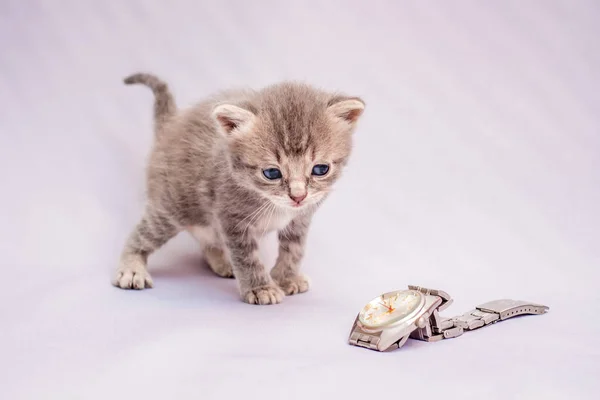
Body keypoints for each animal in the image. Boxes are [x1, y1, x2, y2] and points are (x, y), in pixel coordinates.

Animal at [112, 72, 366, 304]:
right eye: (272, 173)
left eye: (320, 169)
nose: (298, 196)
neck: (270, 201)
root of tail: (171, 126)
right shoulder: (231, 218)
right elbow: (246, 257)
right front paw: (260, 288)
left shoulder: (300, 218)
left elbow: (294, 249)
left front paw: (287, 278)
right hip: (174, 206)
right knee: (145, 233)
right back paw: (132, 268)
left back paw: (221, 262)